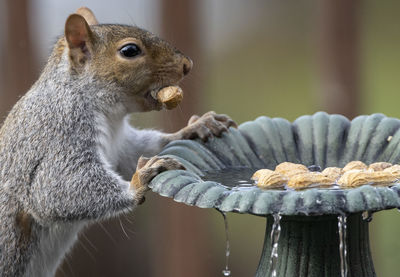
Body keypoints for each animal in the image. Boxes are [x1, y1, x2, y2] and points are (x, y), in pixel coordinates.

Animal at [0, 7, 236, 276]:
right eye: (130, 51)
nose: (187, 65)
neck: (107, 113)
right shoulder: (61, 132)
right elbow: (53, 191)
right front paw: (139, 182)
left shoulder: (120, 144)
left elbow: (136, 151)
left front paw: (194, 128)